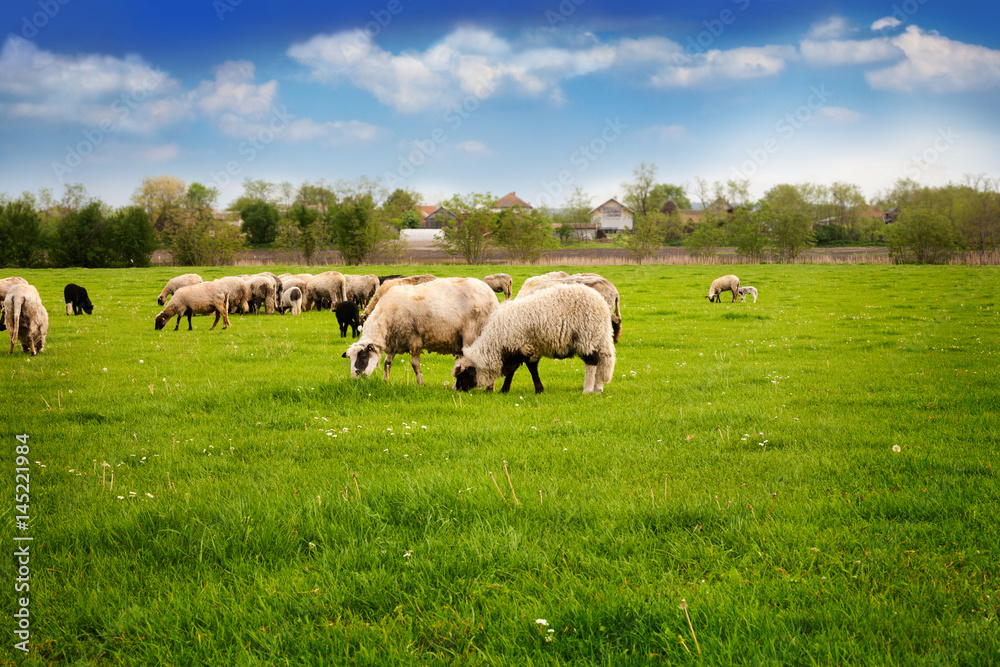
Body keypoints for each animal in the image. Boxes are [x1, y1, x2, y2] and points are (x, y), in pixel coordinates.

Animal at [344, 276, 500, 384]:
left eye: (363, 355)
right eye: (350, 358)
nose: (355, 378)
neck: (385, 317)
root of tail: (492, 296)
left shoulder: (414, 340)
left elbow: (415, 365)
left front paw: (420, 383)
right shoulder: (395, 341)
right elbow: (387, 364)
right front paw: (385, 382)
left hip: (472, 335)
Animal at [456, 284, 616, 396]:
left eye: (462, 375)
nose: (457, 389)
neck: (496, 343)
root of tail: (601, 303)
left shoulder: (525, 347)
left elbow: (530, 368)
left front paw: (538, 389)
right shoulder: (516, 349)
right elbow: (513, 370)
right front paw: (505, 389)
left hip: (586, 335)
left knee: (592, 361)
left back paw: (587, 390)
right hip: (598, 336)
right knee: (602, 360)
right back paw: (598, 388)